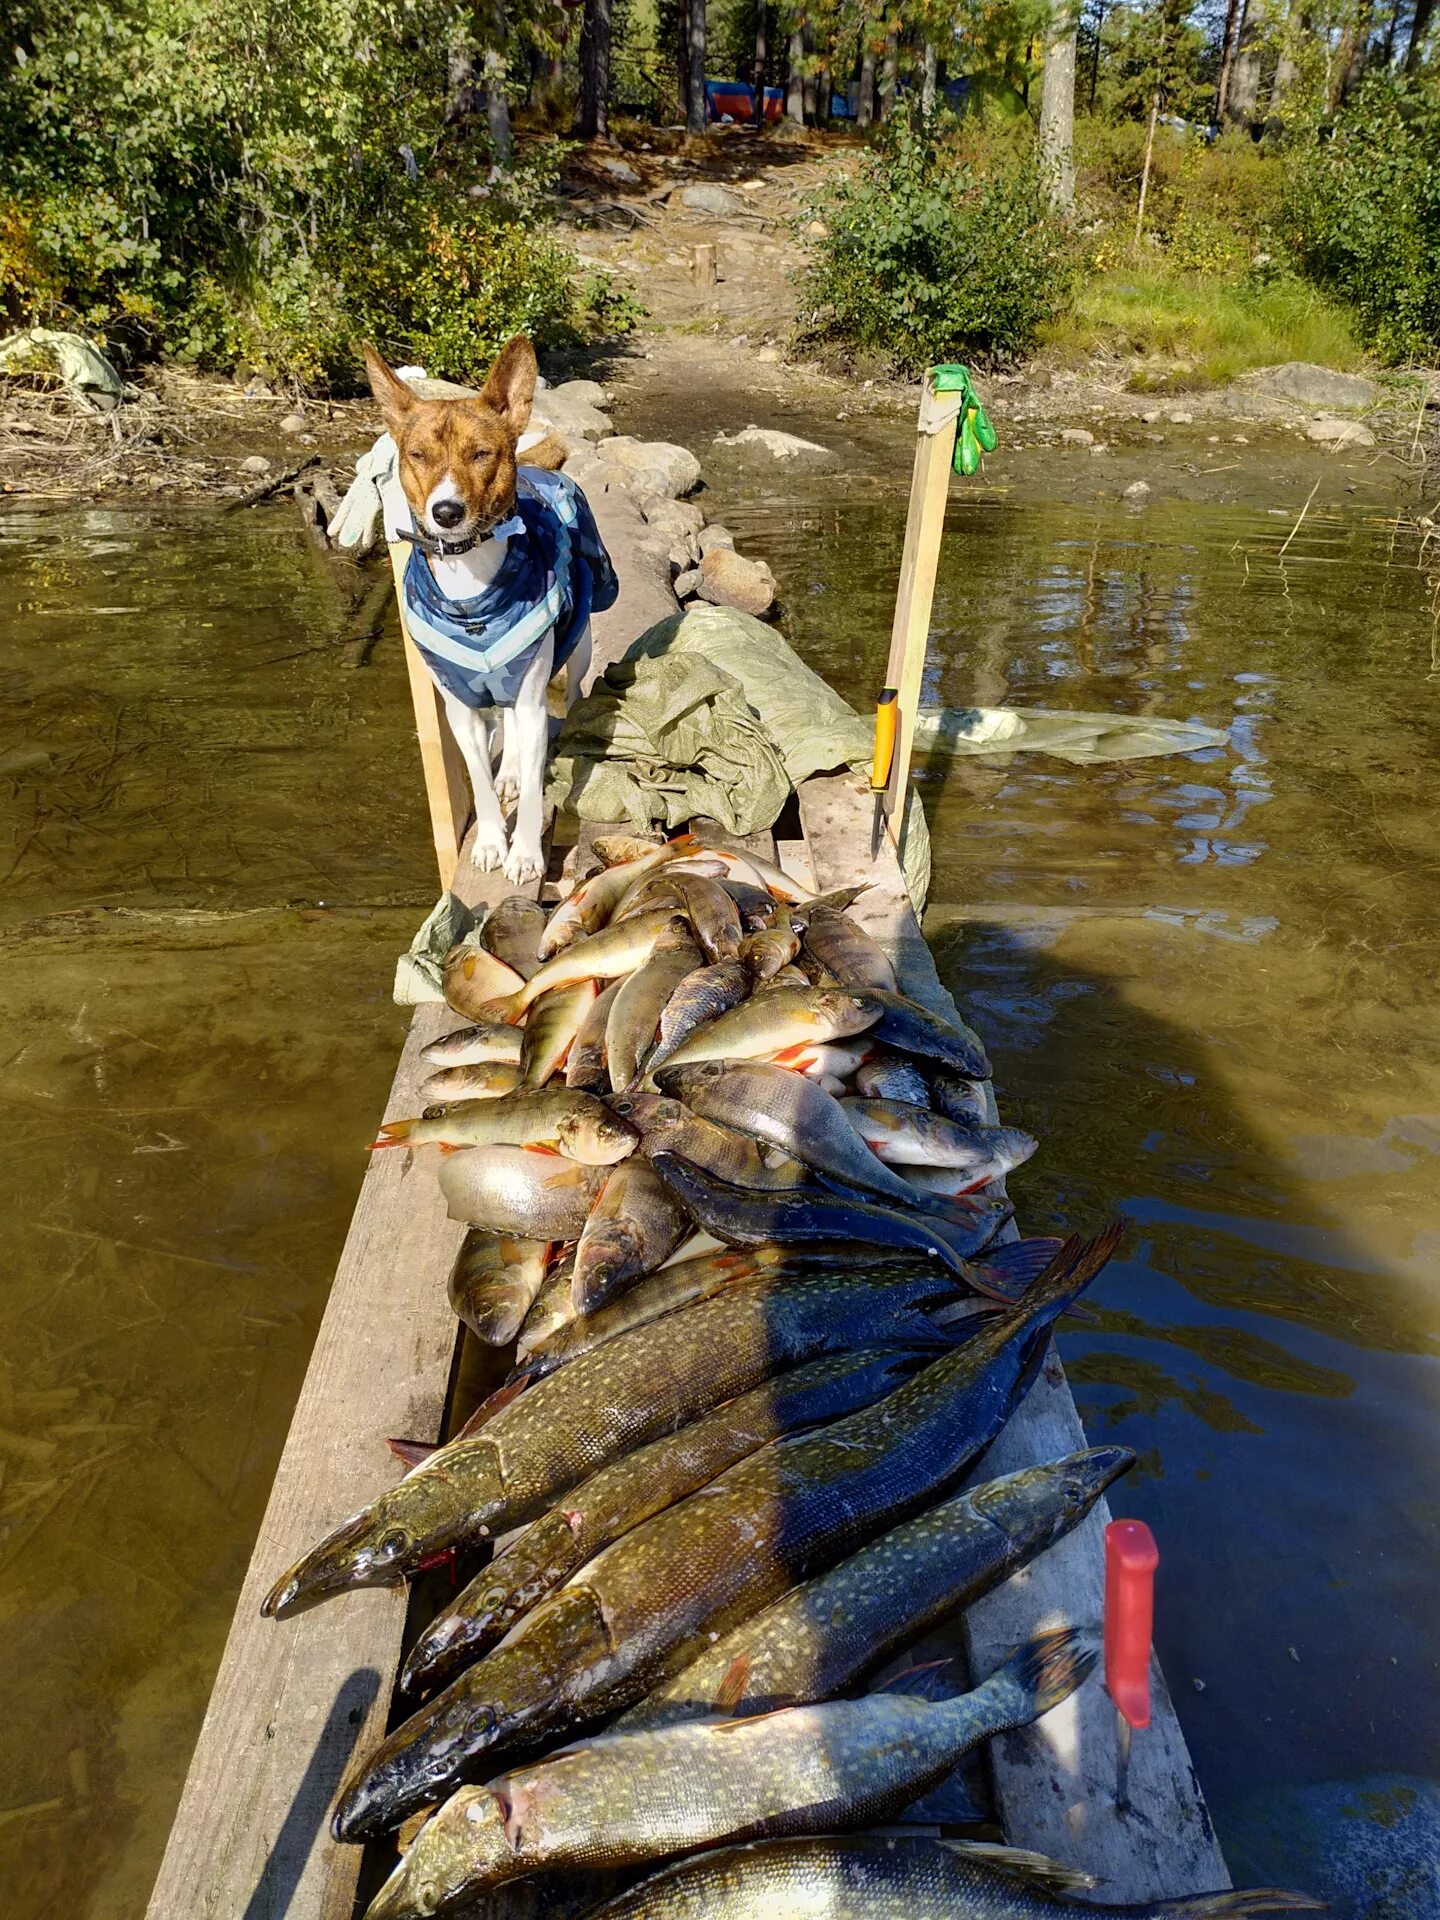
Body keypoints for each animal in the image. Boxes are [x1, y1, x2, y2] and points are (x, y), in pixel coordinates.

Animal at [366, 336, 614, 883]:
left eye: (481, 454)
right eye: (417, 455)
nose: (446, 511)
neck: (472, 598)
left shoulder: (531, 692)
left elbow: (534, 782)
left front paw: (524, 855)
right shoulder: (459, 704)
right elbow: (479, 782)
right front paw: (490, 843)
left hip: (575, 648)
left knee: (554, 701)